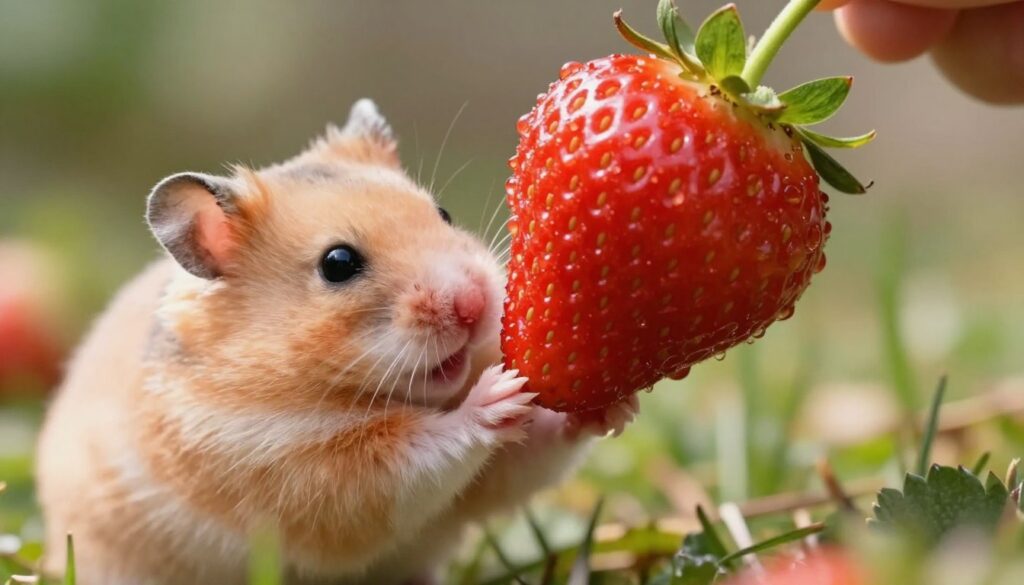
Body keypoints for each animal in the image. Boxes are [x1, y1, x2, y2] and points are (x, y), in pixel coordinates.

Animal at [35, 99, 637, 585]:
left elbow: (528, 458)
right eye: (338, 264)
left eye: (443, 212)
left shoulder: (487, 484)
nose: (474, 304)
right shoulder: (306, 479)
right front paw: (495, 397)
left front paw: (615, 409)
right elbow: (418, 456)